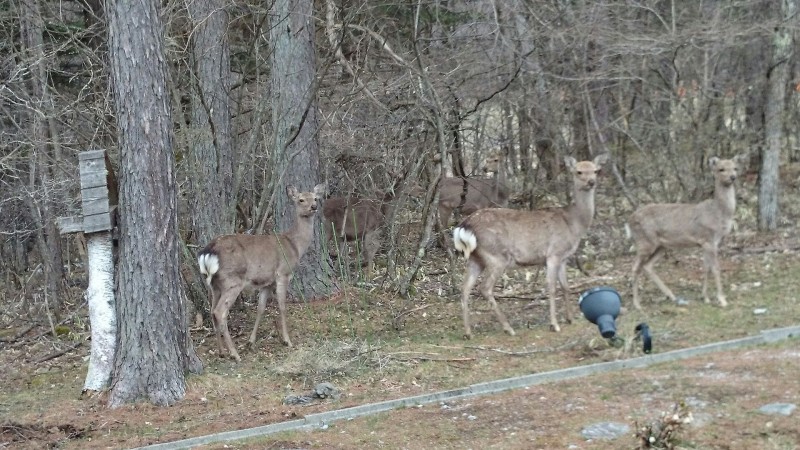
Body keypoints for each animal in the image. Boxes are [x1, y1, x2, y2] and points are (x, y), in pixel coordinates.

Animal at [197, 183, 324, 362]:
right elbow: (282, 306)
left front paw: (251, 341)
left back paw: (222, 352)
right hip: (232, 281)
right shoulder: (283, 273)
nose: (314, 207)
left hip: (215, 285)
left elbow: (261, 308)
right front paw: (287, 340)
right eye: (301, 199)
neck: (294, 246)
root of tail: (209, 251)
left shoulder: (266, 282)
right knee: (220, 312)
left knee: (212, 310)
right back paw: (235, 354)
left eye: (315, 198)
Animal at [450, 155, 608, 338]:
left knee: (465, 288)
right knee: (485, 288)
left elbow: (566, 287)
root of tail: (464, 226)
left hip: (476, 259)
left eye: (595, 170)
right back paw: (508, 328)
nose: (591, 182)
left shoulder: (563, 258)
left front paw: (569, 319)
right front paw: (554, 324)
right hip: (496, 256)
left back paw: (468, 332)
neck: (573, 223)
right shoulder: (553, 253)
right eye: (579, 171)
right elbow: (552, 287)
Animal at [628, 153, 748, 312]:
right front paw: (722, 300)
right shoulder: (708, 239)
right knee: (636, 267)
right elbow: (715, 268)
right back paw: (637, 304)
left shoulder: (707, 243)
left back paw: (671, 296)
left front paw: (705, 297)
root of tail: (629, 221)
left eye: (735, 167)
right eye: (721, 169)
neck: (719, 213)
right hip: (644, 242)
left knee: (647, 266)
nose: (733, 177)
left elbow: (706, 268)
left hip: (661, 246)